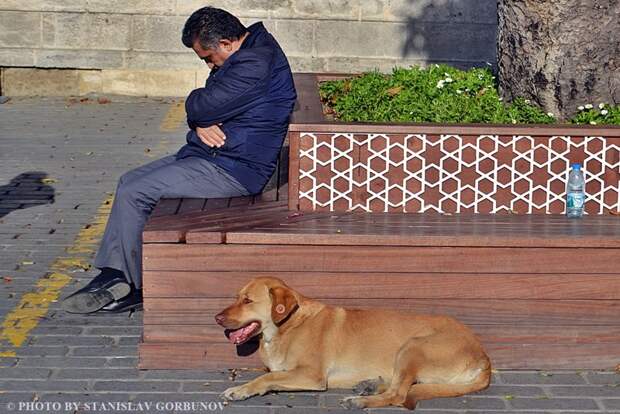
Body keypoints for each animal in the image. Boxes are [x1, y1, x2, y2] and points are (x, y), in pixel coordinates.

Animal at [216, 276, 492, 410]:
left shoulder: (312, 375)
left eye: (247, 301)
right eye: (237, 297)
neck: (288, 326)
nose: (216, 318)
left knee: (399, 394)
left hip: (413, 346)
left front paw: (241, 389)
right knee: (402, 386)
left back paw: (360, 401)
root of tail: (483, 355)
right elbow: (269, 374)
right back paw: (370, 385)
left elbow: (268, 376)